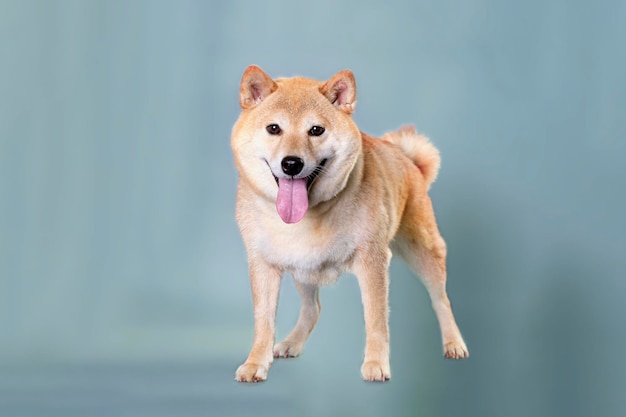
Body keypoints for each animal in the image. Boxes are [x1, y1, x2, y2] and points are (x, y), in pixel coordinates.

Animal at [229, 64, 464, 380]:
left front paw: (376, 363)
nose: (291, 163)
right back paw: (293, 342)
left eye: (316, 130)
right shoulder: (263, 264)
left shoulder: (372, 261)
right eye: (273, 128)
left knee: (441, 300)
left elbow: (376, 319)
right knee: (313, 308)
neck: (303, 218)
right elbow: (263, 321)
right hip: (303, 269)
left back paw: (453, 343)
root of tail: (406, 158)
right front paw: (256, 363)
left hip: (423, 251)